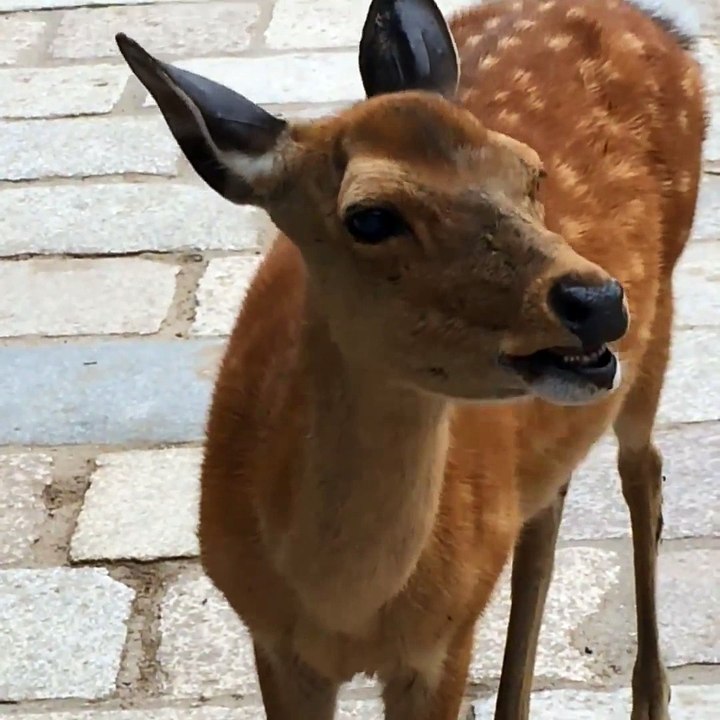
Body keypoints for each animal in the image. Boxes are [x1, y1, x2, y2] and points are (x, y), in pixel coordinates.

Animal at [116, 0, 706, 717]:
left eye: (529, 171)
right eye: (369, 217)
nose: (597, 300)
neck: (342, 609)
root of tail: (653, 22)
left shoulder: (443, 646)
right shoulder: (271, 643)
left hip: (661, 314)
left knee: (642, 468)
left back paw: (652, 697)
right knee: (553, 497)